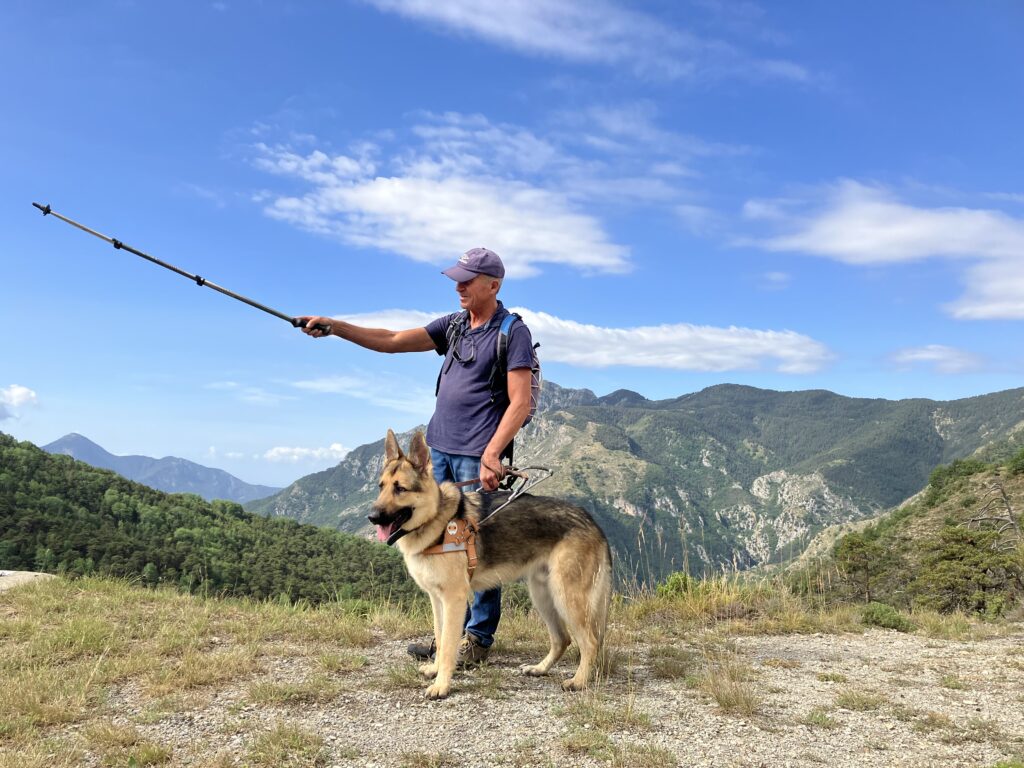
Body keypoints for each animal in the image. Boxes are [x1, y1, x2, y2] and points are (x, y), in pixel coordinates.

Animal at [366, 430, 606, 700]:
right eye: (381, 487)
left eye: (400, 488)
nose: (372, 517)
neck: (436, 520)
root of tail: (590, 519)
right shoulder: (437, 600)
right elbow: (439, 635)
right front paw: (435, 670)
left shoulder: (455, 600)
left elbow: (448, 645)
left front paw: (442, 685)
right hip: (543, 596)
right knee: (562, 638)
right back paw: (540, 669)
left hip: (566, 596)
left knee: (590, 642)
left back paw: (579, 681)